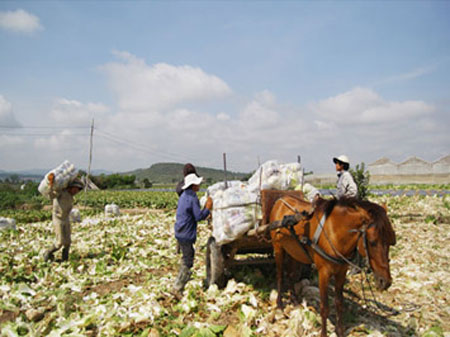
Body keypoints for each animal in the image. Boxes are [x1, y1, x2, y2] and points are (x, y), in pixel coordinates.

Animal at [268, 196, 396, 336]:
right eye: (372, 242)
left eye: (391, 241)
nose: (386, 282)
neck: (334, 232)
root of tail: (281, 199)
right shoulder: (324, 273)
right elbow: (325, 307)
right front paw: (324, 333)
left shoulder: (342, 272)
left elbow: (339, 302)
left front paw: (339, 331)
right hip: (278, 247)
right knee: (280, 275)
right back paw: (279, 303)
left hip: (294, 250)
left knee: (291, 274)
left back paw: (294, 300)